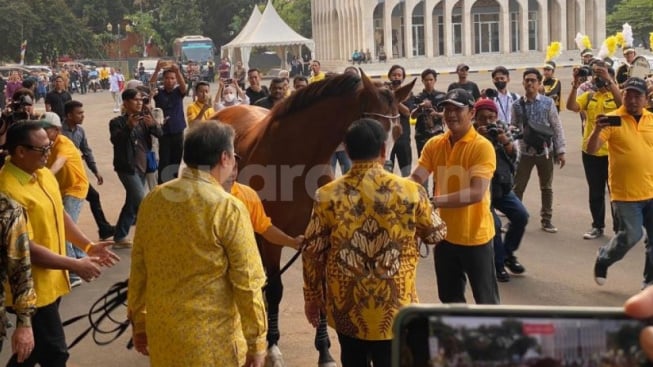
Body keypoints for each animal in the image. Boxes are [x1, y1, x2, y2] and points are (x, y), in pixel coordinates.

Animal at [213, 70, 412, 366]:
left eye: (398, 131)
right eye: (370, 129)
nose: (382, 178)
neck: (296, 161)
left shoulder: (319, 237)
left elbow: (322, 292)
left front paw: (325, 351)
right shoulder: (271, 236)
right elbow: (275, 289)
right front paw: (273, 347)